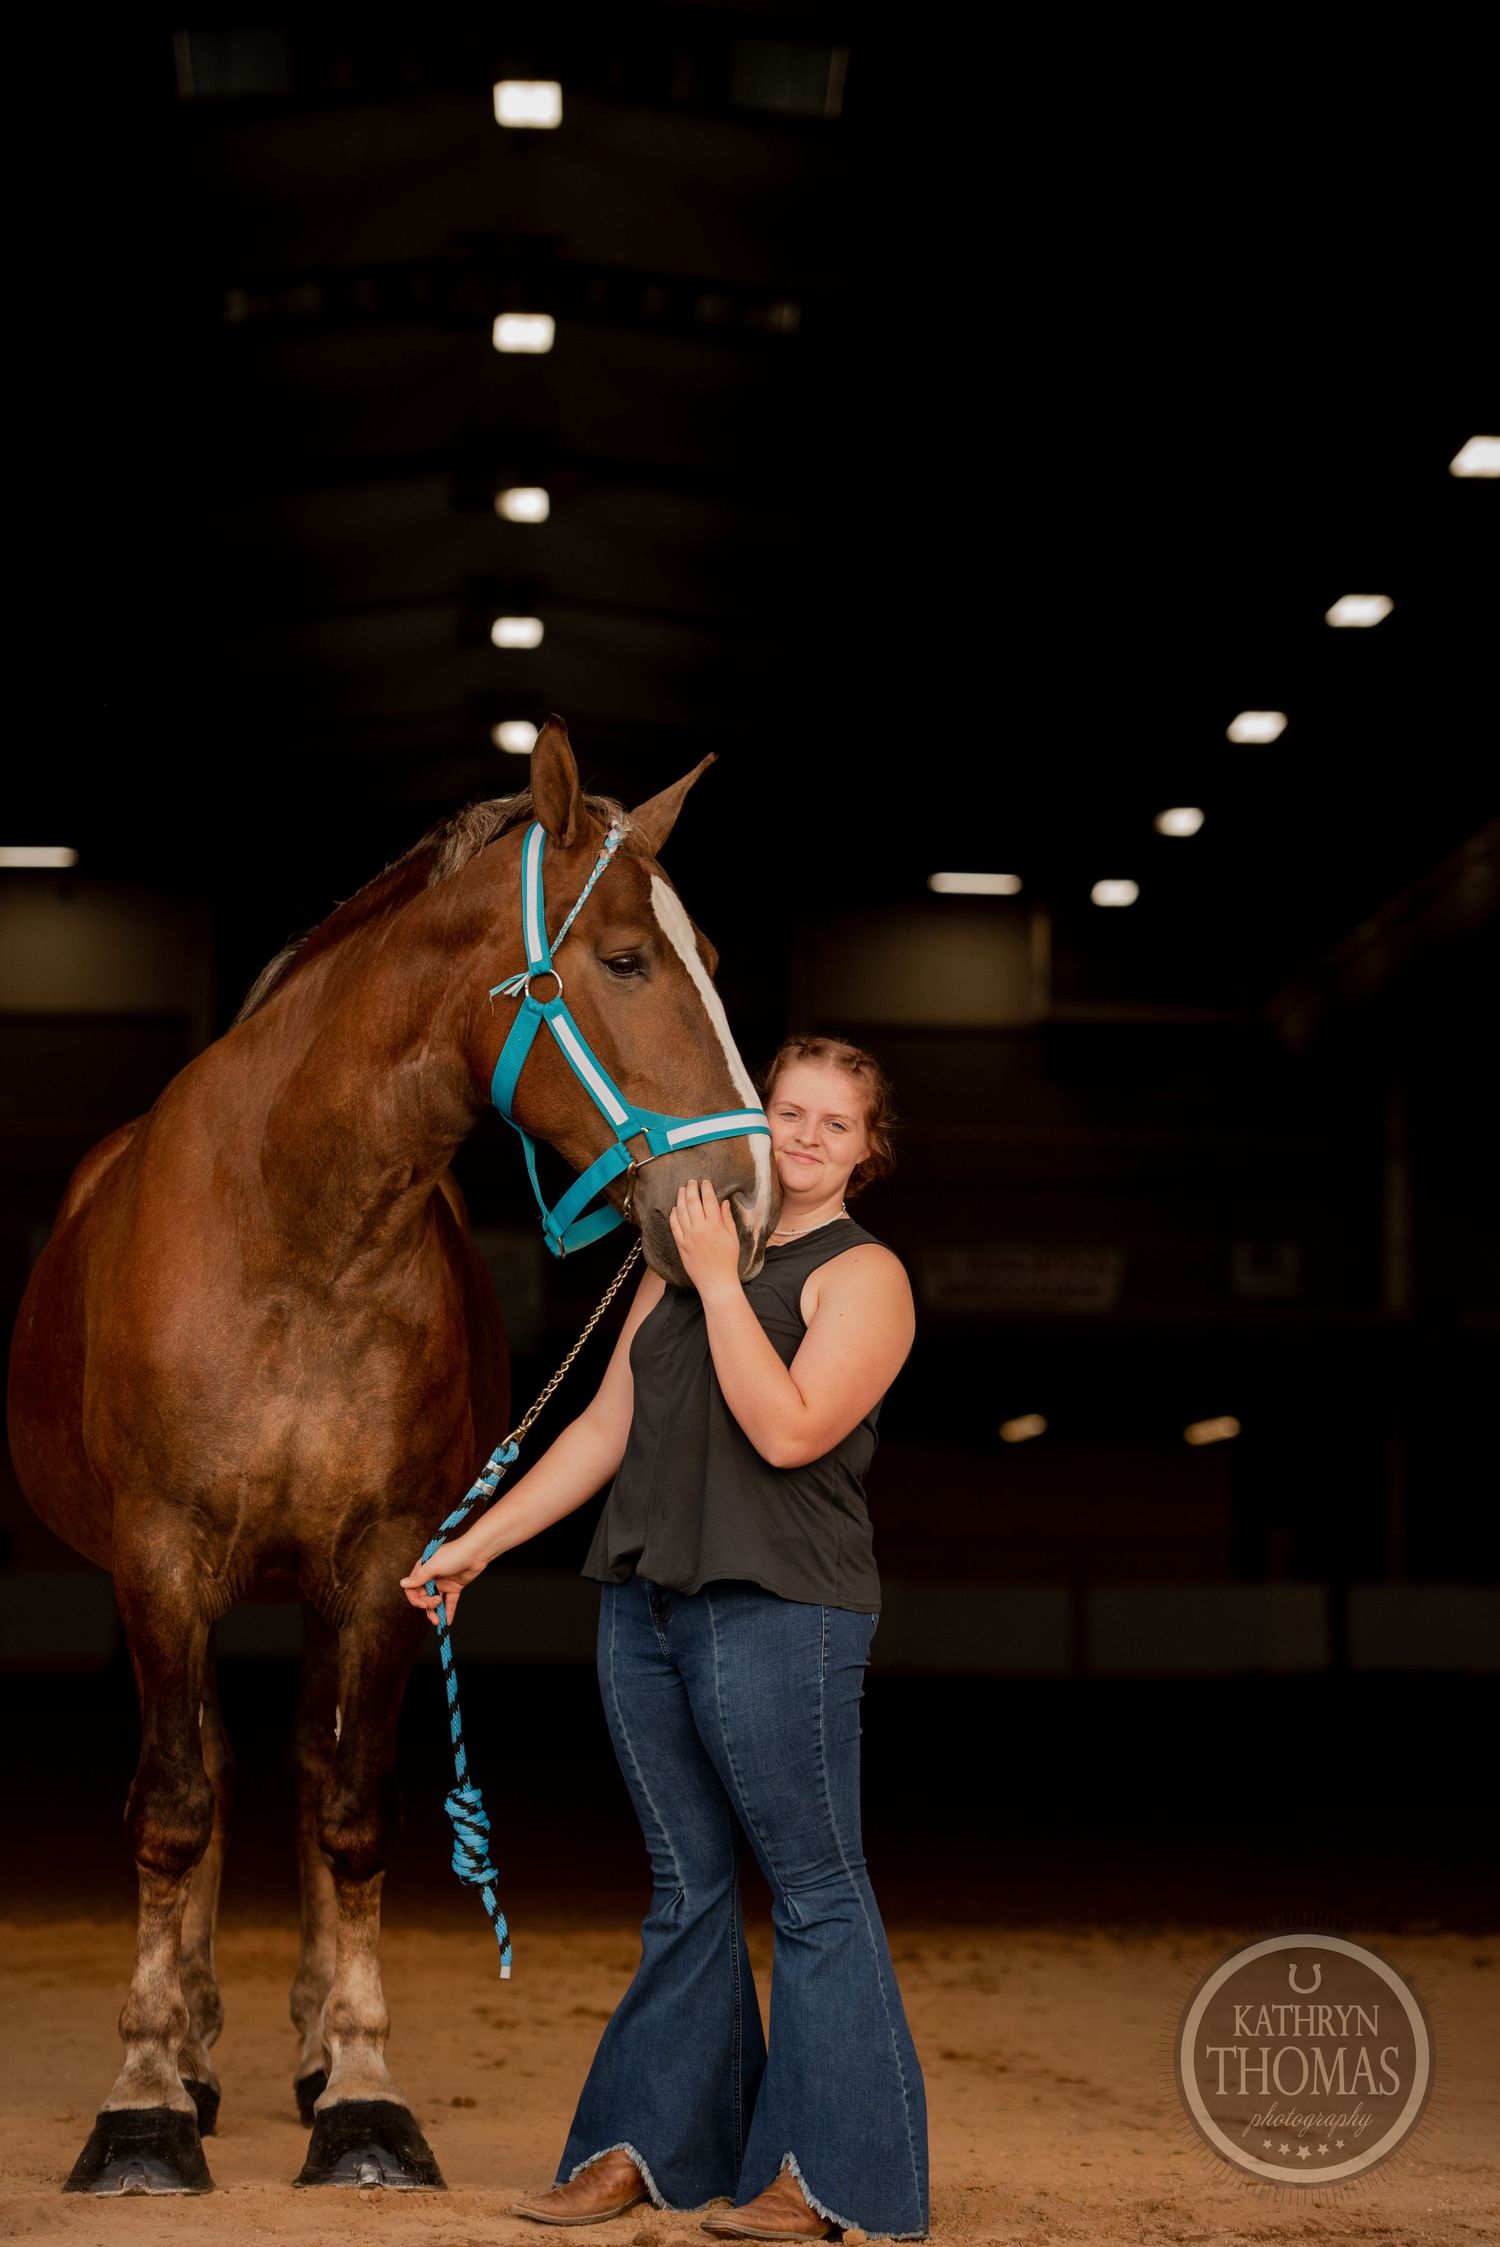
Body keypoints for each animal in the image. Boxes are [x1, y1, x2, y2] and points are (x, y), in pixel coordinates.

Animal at [5, 717, 777, 2195]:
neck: (296, 1234)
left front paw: (362, 2092)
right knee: (200, 1773)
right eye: (626, 959)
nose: (752, 1203)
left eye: (710, 955)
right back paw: (190, 2051)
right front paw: (142, 2103)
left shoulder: (381, 1567)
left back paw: (303, 2047)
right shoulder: (160, 1561)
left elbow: (352, 1810)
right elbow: (174, 1807)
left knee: (305, 1771)